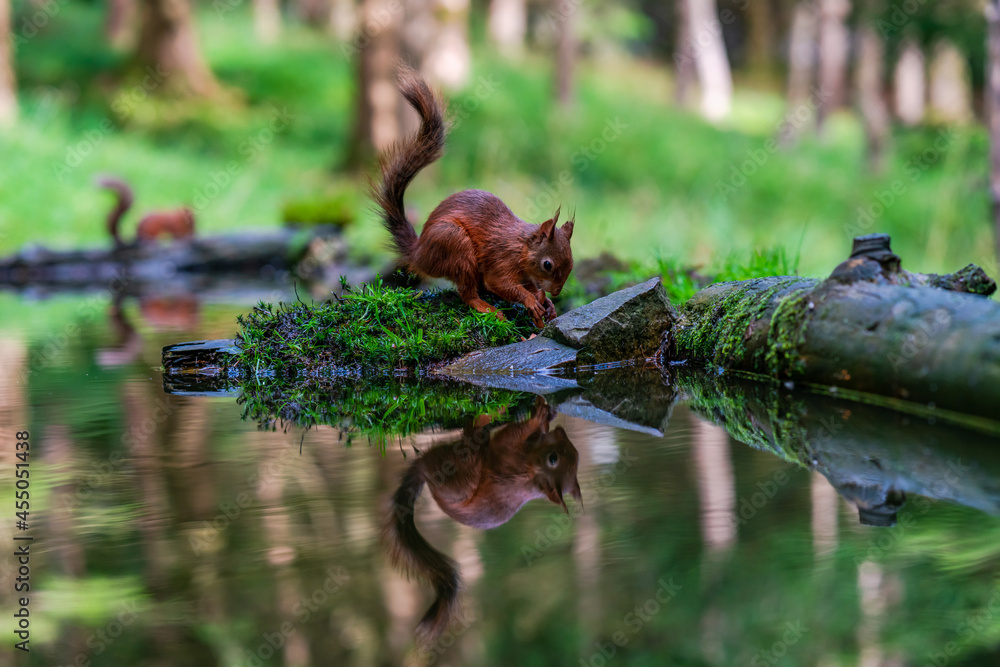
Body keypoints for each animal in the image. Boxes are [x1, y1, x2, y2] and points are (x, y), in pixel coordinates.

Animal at [372, 65, 576, 328]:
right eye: (547, 264)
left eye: (571, 262)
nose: (557, 292)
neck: (521, 246)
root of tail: (418, 253)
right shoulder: (501, 259)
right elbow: (501, 284)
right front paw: (531, 301)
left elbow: (529, 286)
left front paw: (547, 303)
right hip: (455, 244)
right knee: (468, 293)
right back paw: (487, 308)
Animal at [381, 396, 582, 641]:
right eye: (555, 458)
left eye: (566, 456)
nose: (562, 431)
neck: (531, 473)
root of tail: (424, 472)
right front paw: (544, 416)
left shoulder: (510, 460)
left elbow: (514, 434)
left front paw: (538, 417)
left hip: (463, 471)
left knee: (470, 438)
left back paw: (488, 416)